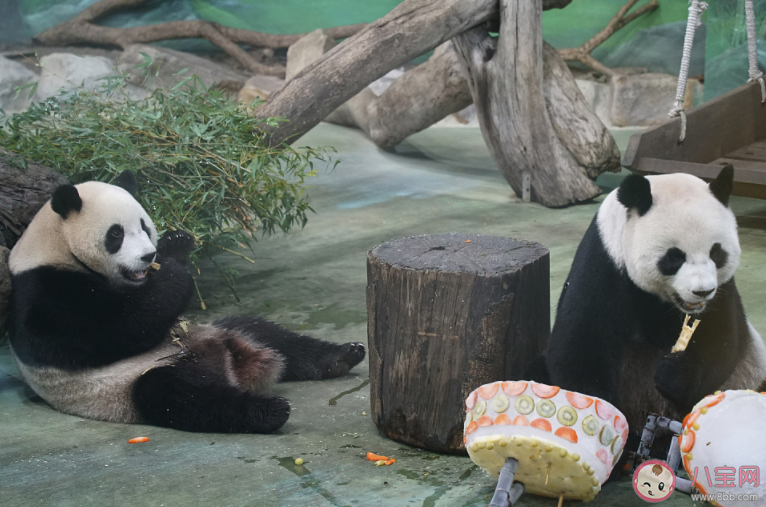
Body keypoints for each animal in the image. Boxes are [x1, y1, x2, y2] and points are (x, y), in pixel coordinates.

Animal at [6, 173, 366, 434]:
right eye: (116, 234)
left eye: (144, 225)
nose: (147, 255)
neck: (56, 245)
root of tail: (230, 368)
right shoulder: (46, 293)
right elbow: (117, 330)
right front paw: (176, 260)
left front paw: (176, 241)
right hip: (126, 388)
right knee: (177, 397)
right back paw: (269, 411)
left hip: (216, 331)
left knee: (264, 332)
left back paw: (341, 356)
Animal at [540, 166, 766, 444]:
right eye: (674, 257)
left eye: (716, 252)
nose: (702, 291)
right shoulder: (604, 263)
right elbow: (580, 345)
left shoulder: (722, 291)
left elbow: (721, 340)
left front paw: (671, 373)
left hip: (751, 371)